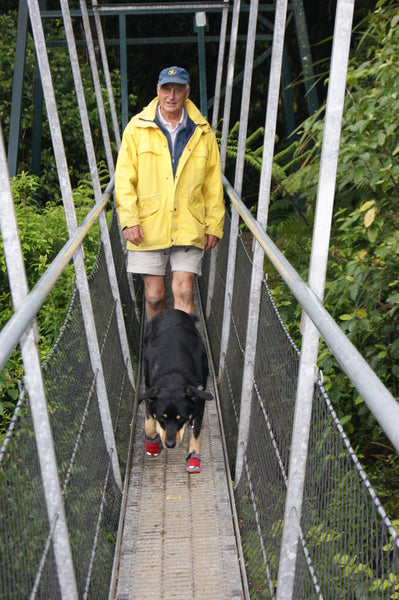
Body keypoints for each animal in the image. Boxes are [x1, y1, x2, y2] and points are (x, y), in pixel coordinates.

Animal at [141, 310, 214, 474]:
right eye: (162, 418)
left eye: (181, 419)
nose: (170, 444)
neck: (174, 376)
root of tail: (171, 310)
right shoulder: (150, 391)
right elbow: (149, 422)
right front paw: (153, 440)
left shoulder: (200, 397)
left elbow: (197, 432)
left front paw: (193, 456)